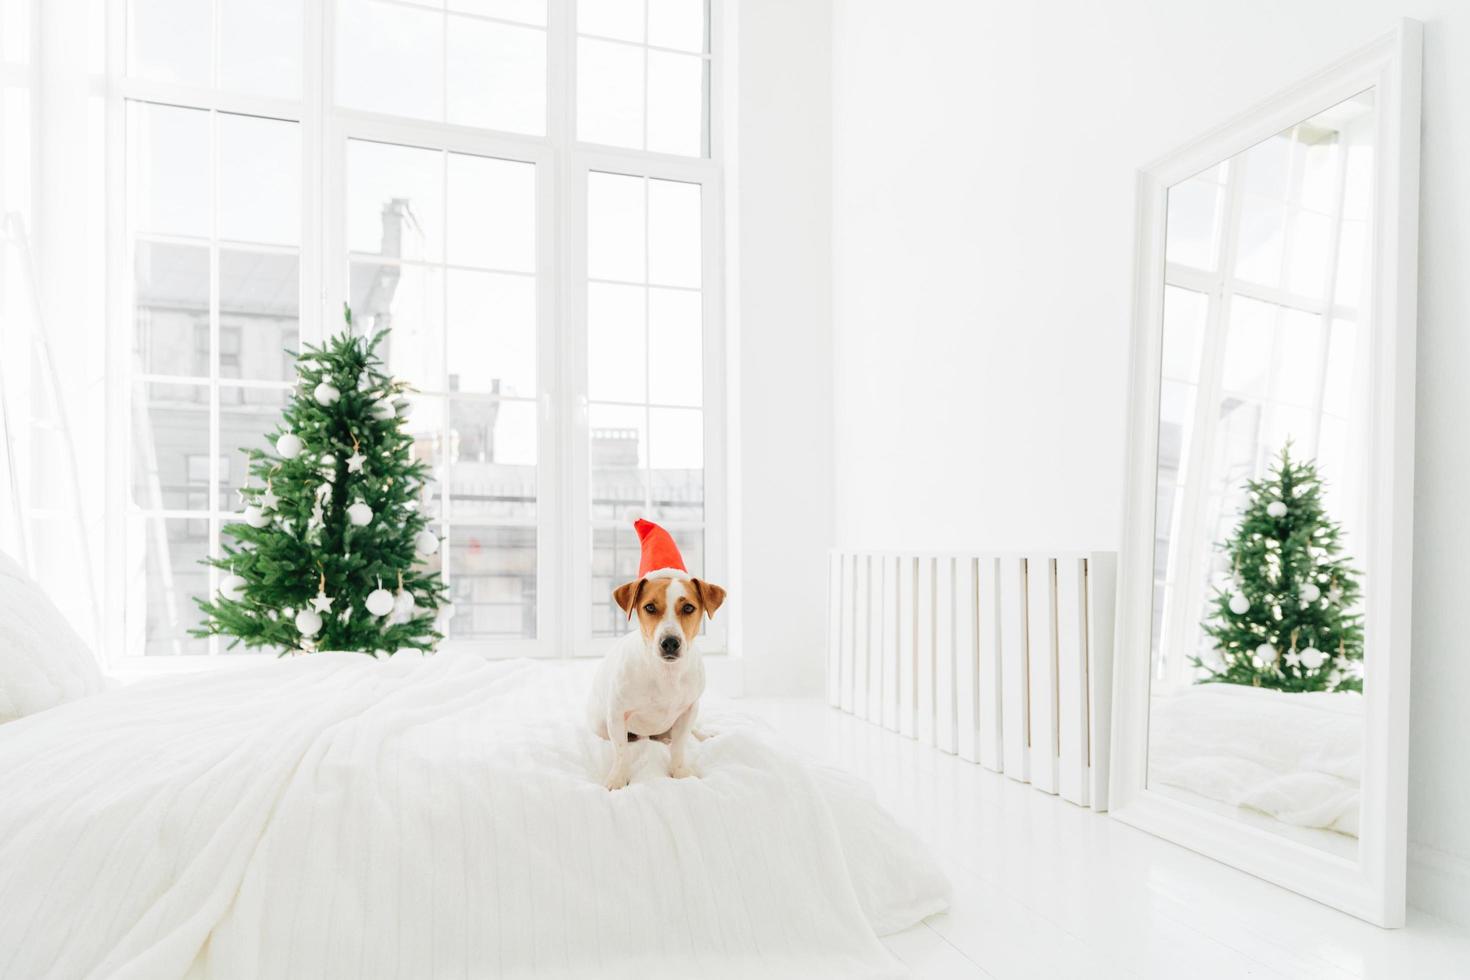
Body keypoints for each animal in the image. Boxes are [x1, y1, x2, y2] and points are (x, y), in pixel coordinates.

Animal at [585, 520, 723, 787]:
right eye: (649, 607)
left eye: (688, 607)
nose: (670, 642)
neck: (665, 673)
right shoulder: (617, 714)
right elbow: (621, 750)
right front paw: (618, 778)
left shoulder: (688, 710)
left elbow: (679, 746)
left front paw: (680, 772)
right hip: (601, 724)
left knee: (686, 734)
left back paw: (702, 735)